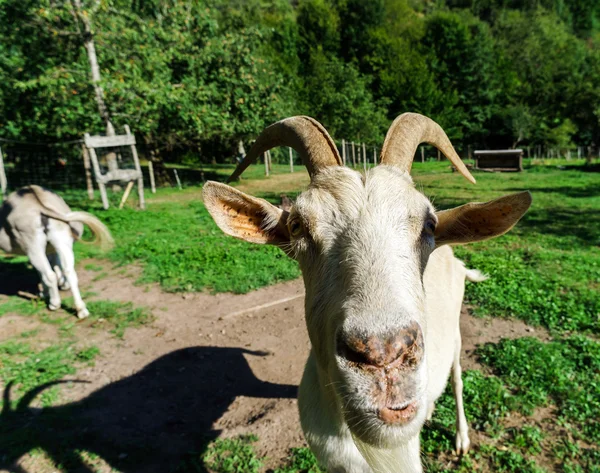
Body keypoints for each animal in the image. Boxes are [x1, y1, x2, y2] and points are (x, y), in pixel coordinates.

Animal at [0, 184, 112, 318]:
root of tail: (39, 203)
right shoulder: (51, 250)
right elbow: (56, 266)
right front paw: (61, 285)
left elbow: (43, 272)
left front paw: (45, 293)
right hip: (61, 240)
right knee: (70, 272)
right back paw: (81, 310)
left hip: (33, 246)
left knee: (49, 275)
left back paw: (54, 303)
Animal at [202, 112, 528, 470]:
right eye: (297, 226)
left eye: (429, 224)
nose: (383, 355)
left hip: (455, 335)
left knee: (456, 378)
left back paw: (461, 439)